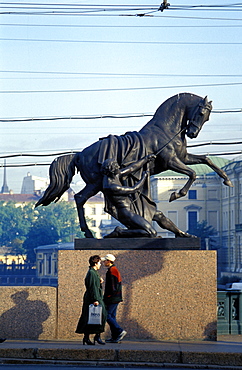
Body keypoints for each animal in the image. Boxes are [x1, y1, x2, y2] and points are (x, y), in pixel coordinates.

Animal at [36, 92, 233, 237]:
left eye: (207, 117)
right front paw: (176, 194)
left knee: (80, 198)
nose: (192, 133)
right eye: (201, 113)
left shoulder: (183, 158)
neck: (165, 130)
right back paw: (89, 233)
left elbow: (206, 160)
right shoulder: (171, 161)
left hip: (95, 184)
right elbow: (192, 173)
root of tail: (79, 154)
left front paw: (227, 180)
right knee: (79, 198)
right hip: (96, 182)